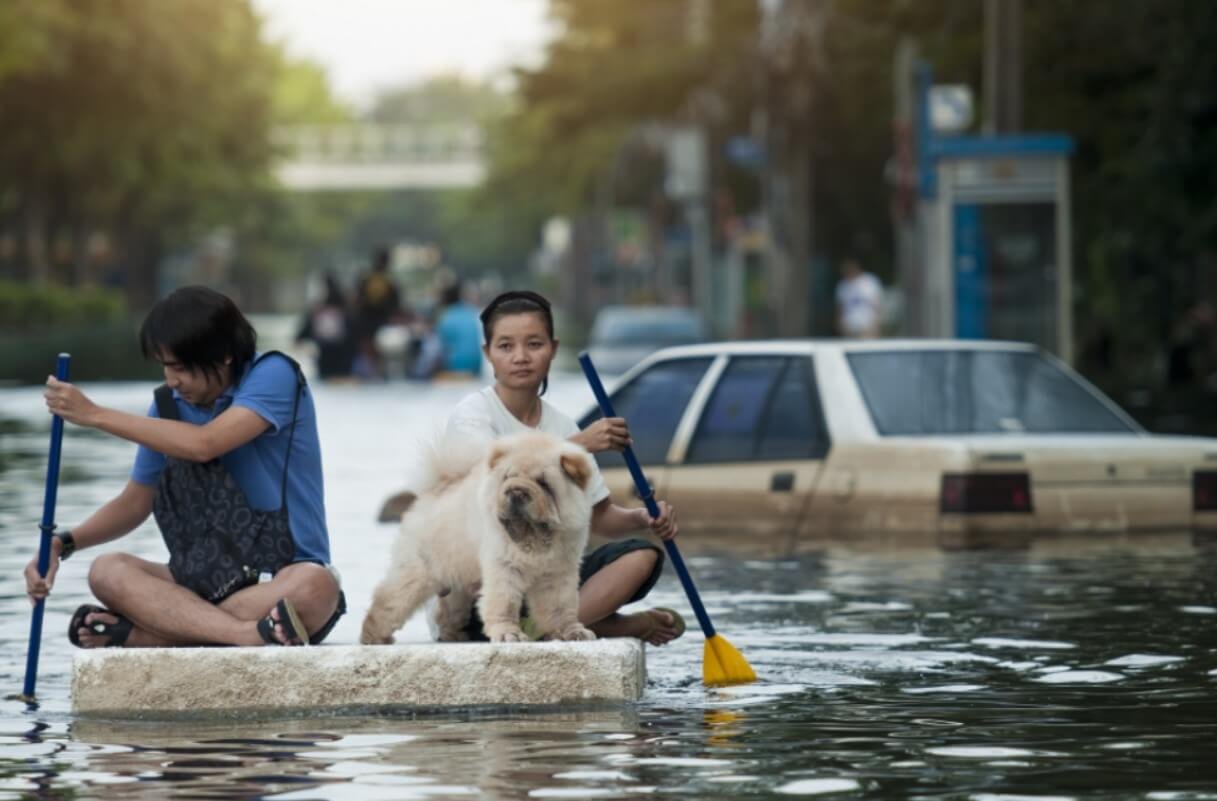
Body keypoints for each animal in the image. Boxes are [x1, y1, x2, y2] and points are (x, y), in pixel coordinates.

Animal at [360, 430, 598, 642]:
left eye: (543, 483)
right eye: (508, 477)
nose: (516, 491)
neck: (533, 538)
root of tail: (435, 490)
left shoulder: (558, 572)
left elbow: (560, 607)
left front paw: (573, 632)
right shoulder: (504, 566)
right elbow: (504, 602)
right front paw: (508, 634)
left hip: (456, 580)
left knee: (446, 611)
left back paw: (453, 636)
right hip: (416, 574)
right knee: (387, 602)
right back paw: (373, 638)